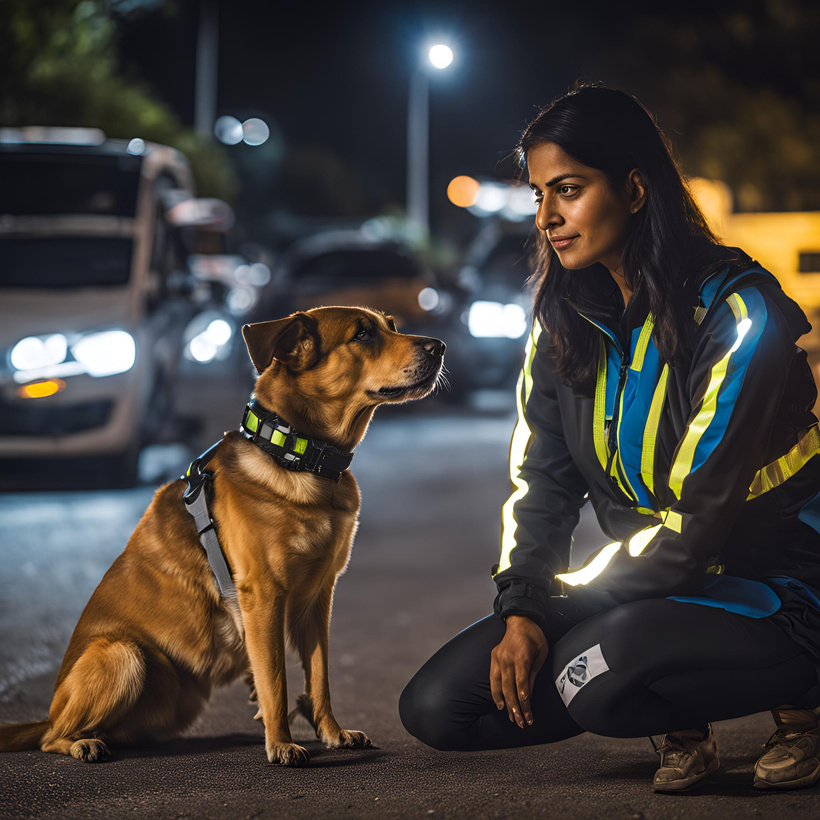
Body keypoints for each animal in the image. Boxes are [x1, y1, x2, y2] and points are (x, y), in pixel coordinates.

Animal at [0, 306, 442, 764]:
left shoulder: (318, 598)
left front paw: (332, 732)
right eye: (363, 334)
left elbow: (319, 677)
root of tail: (51, 712)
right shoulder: (263, 596)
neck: (297, 454)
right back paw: (82, 742)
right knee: (52, 736)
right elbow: (275, 681)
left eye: (390, 325)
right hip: (123, 654)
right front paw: (281, 743)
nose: (439, 346)